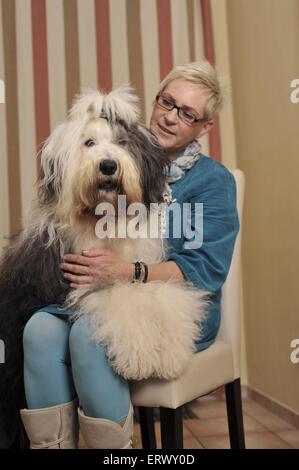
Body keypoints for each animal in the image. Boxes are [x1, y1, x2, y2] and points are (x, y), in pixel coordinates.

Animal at [0, 84, 209, 448]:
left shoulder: (144, 269)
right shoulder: (75, 279)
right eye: (88, 143)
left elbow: (162, 296)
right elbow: (119, 300)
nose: (109, 166)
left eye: (123, 142)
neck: (105, 222)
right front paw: (141, 355)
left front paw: (170, 350)